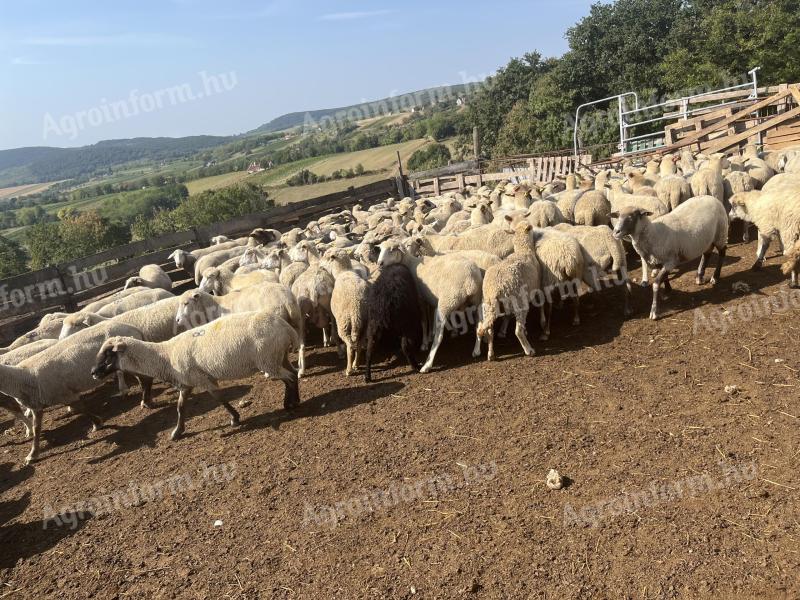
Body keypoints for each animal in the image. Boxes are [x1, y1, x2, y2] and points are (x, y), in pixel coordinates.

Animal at [93, 312, 300, 442]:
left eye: (109, 354)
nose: (93, 373)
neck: (165, 356)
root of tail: (286, 327)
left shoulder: (203, 379)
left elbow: (220, 399)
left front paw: (235, 418)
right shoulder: (186, 383)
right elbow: (180, 408)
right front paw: (177, 432)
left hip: (268, 360)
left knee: (289, 378)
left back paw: (288, 405)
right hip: (279, 357)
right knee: (293, 374)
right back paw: (295, 400)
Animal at [324, 248, 372, 376]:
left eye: (326, 257)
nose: (320, 266)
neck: (343, 271)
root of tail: (357, 310)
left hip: (344, 324)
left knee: (350, 346)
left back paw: (349, 369)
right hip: (364, 324)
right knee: (359, 344)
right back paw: (356, 364)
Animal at [376, 238, 482, 370]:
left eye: (392, 249)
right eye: (380, 249)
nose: (379, 263)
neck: (410, 263)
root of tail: (470, 280)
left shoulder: (420, 299)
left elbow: (424, 322)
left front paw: (424, 343)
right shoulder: (430, 300)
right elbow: (430, 318)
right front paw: (430, 336)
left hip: (446, 302)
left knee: (440, 336)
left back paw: (427, 364)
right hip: (477, 299)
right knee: (479, 323)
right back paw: (476, 350)